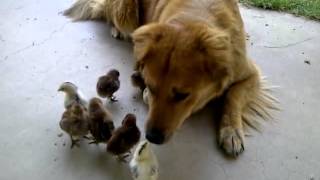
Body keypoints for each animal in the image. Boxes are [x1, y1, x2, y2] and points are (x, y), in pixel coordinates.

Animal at [63, 0, 278, 157]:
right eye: (151, 86)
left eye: (182, 95)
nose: (152, 137)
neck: (195, 17)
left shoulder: (250, 73)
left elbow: (234, 96)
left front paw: (231, 131)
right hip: (126, 13)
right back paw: (117, 30)